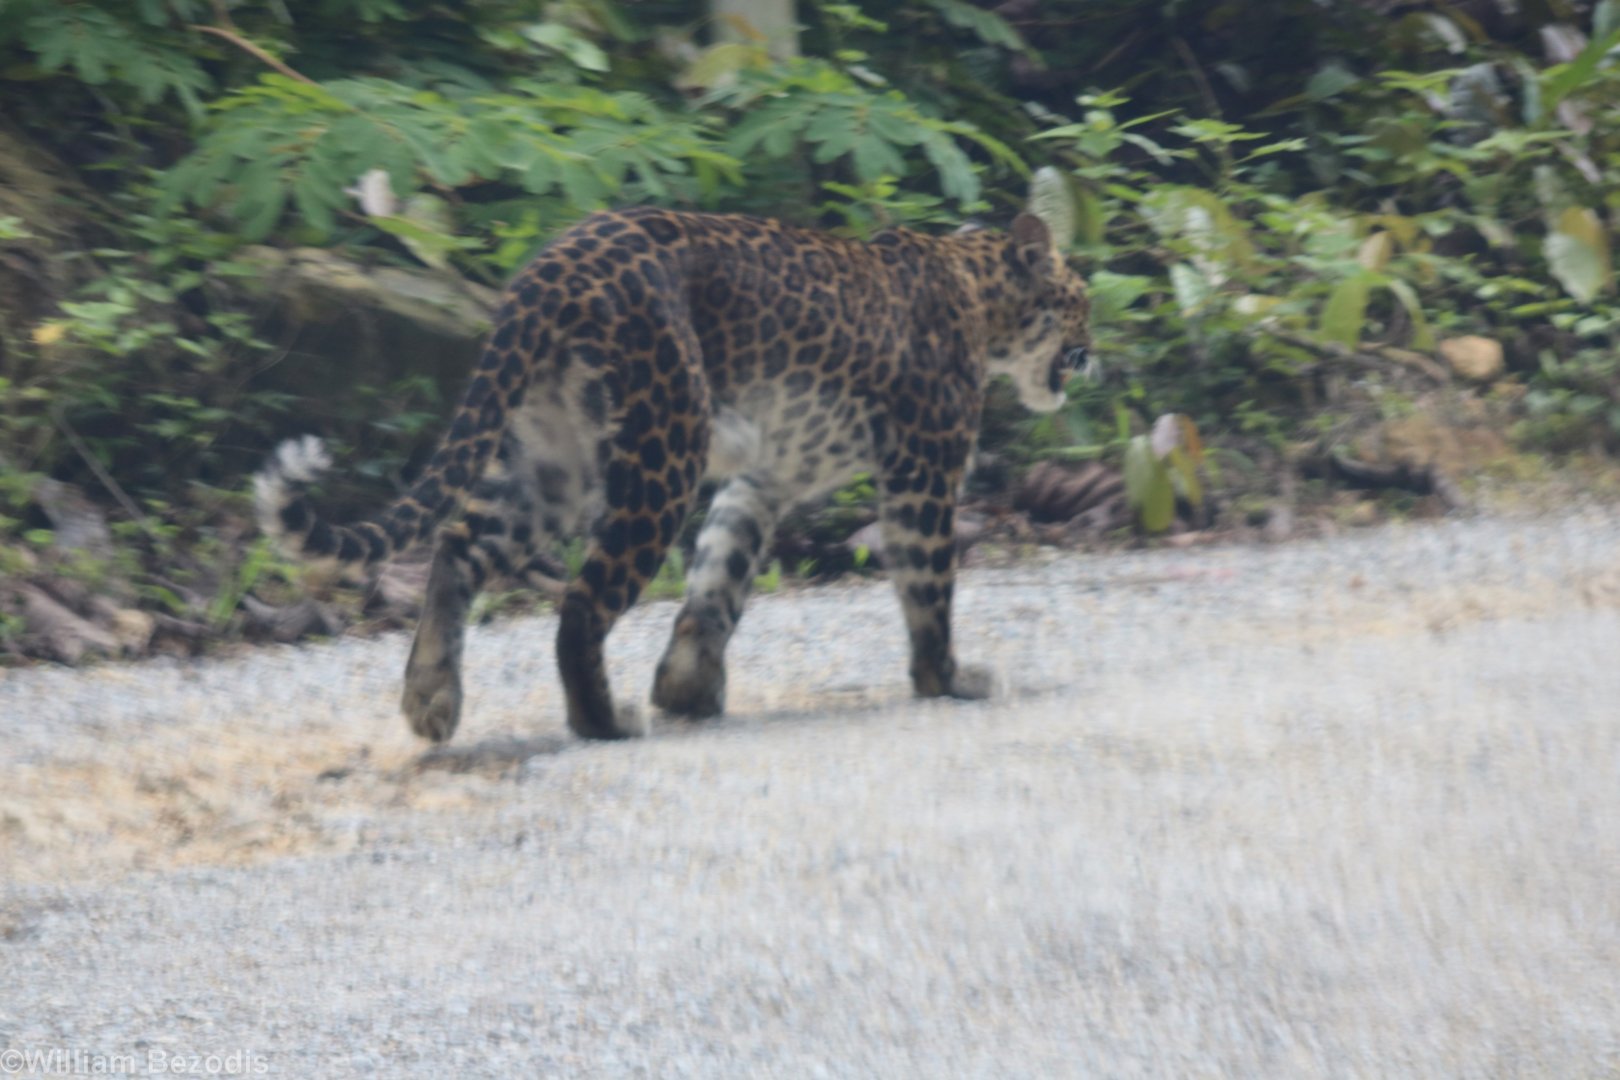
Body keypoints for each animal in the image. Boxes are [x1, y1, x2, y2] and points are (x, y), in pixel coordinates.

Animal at [254, 199, 1091, 743]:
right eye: (1080, 298)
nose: (1092, 353)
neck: (979, 295)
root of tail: (551, 264)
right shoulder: (922, 473)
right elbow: (929, 586)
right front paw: (948, 680)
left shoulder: (763, 478)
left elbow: (720, 577)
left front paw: (687, 688)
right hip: (664, 448)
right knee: (581, 602)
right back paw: (601, 722)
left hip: (554, 458)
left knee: (458, 547)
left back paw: (432, 701)